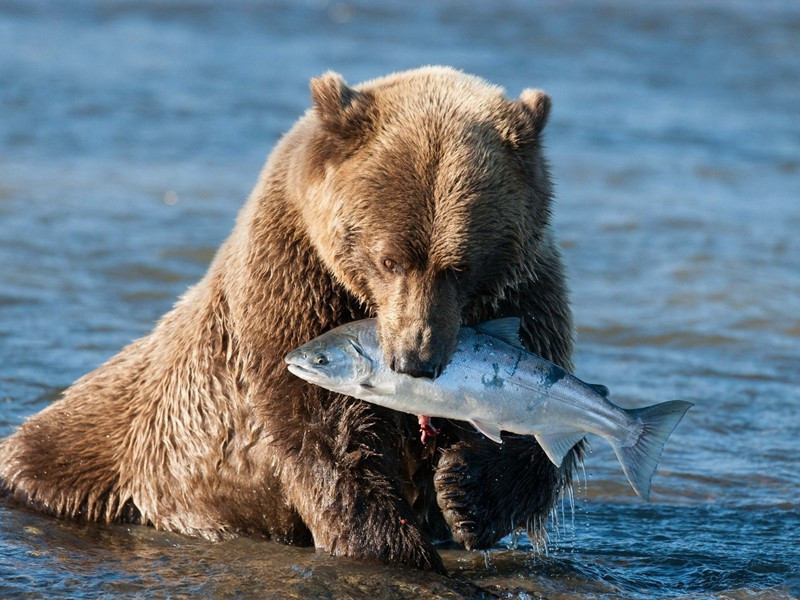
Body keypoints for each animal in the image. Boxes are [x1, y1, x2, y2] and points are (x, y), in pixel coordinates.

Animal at [0, 65, 576, 572]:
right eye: (389, 259)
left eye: (460, 266)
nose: (415, 359)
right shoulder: (293, 282)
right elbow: (325, 432)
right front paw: (394, 547)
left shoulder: (525, 292)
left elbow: (541, 421)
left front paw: (465, 492)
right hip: (110, 442)